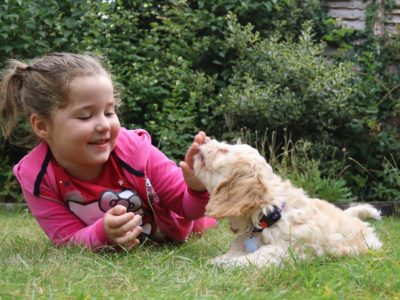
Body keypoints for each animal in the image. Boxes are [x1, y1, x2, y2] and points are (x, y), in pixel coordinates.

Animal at [194, 139, 382, 268]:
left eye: (224, 149)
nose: (203, 140)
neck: (269, 212)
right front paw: (221, 259)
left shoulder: (288, 249)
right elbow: (233, 251)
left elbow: (262, 254)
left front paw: (228, 264)